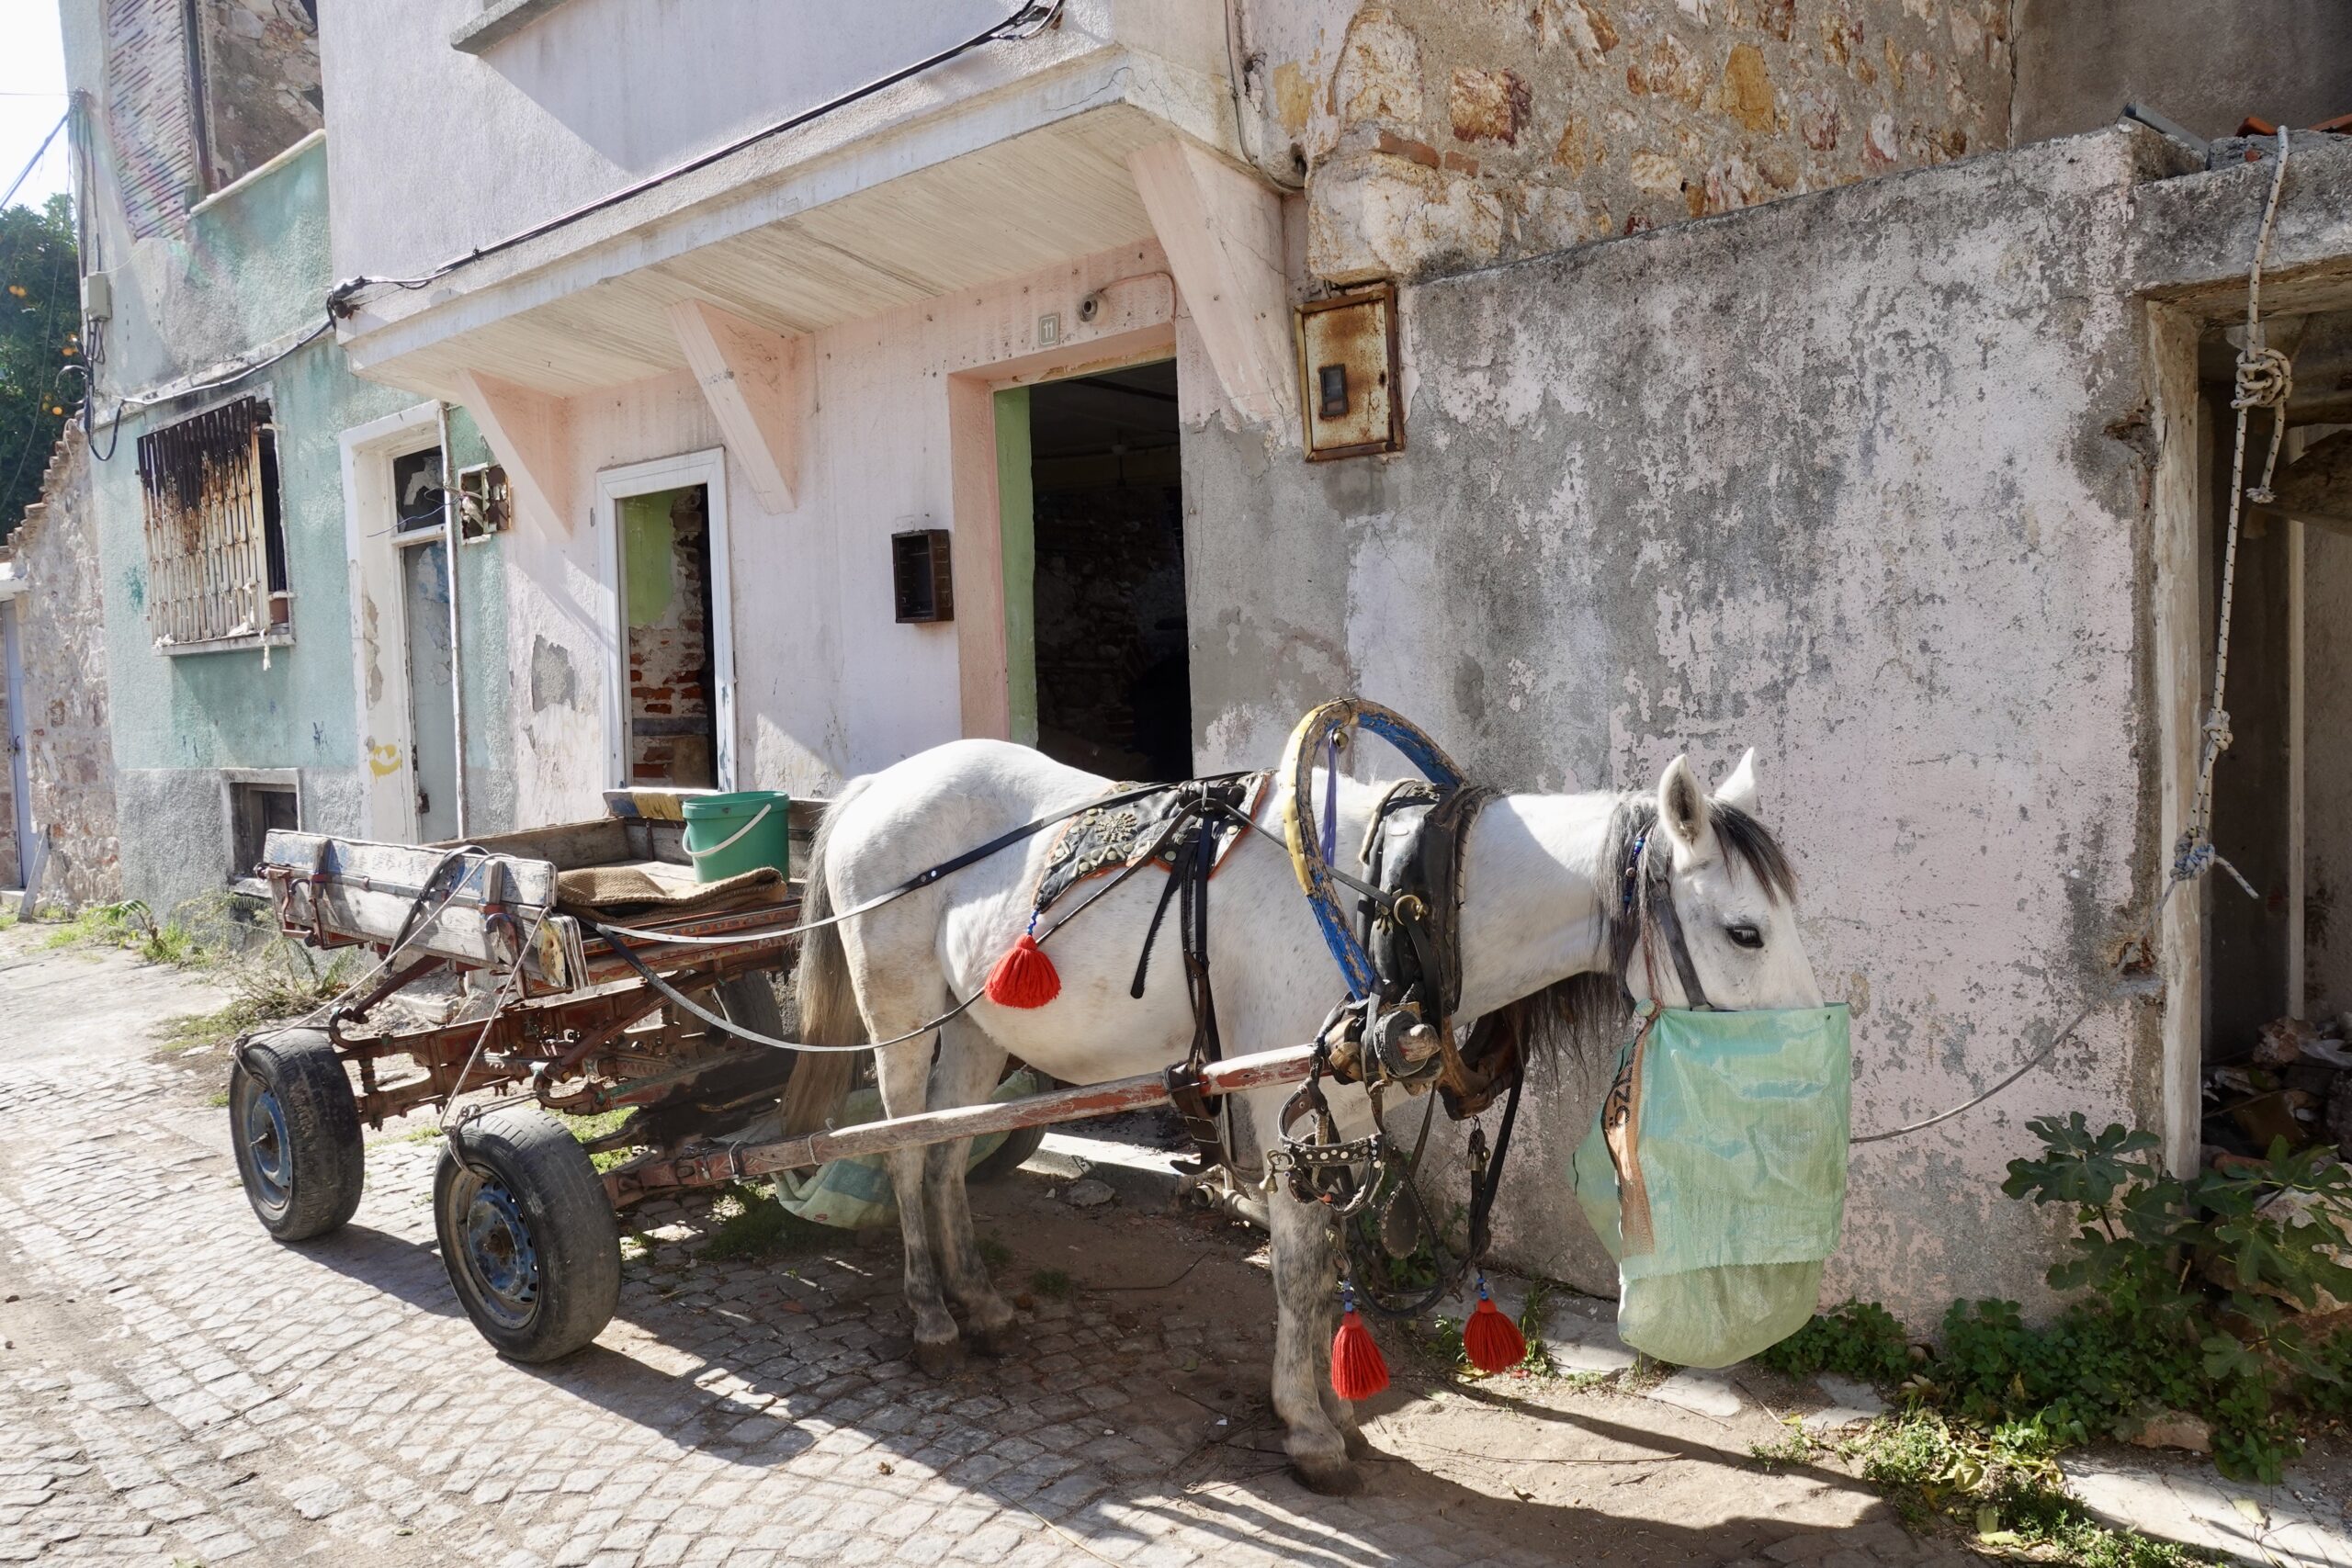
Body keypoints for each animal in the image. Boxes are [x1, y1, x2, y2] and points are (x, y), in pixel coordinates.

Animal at [790, 738, 1815, 1495]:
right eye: (1745, 932)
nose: (1802, 1066)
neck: (1395, 903)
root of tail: (879, 781)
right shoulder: (1281, 1109)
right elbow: (1291, 1273)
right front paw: (1307, 1432)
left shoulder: (1346, 1108)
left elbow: (1325, 1273)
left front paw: (1340, 1415)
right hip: (900, 1015)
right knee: (900, 1155)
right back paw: (930, 1317)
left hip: (973, 1027)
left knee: (944, 1150)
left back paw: (979, 1301)